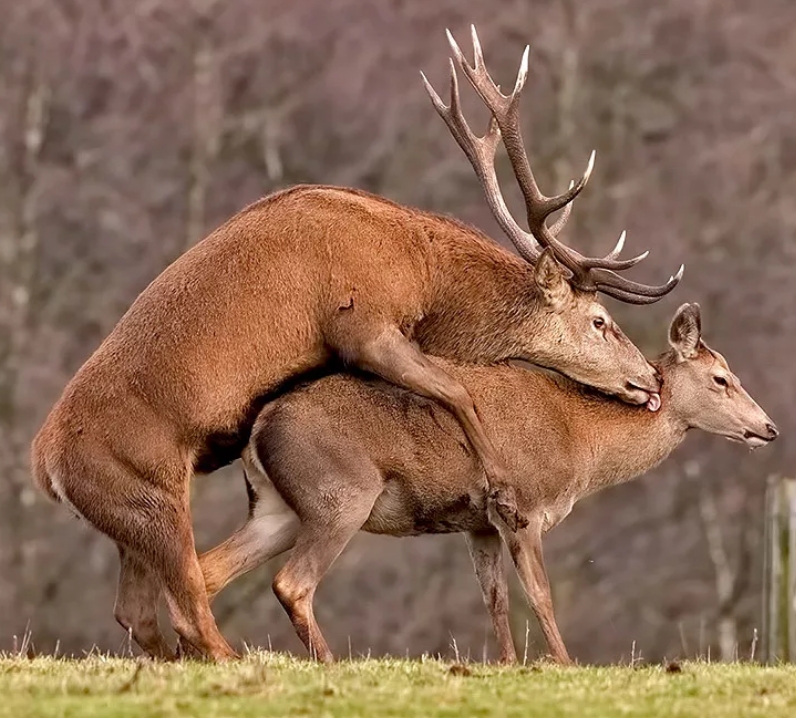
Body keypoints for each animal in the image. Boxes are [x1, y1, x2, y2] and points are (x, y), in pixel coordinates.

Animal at [29, 26, 676, 664]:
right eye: (600, 320)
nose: (649, 379)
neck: (422, 273)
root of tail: (45, 470)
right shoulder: (361, 321)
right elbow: (455, 389)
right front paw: (497, 478)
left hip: (130, 521)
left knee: (138, 611)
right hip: (149, 493)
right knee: (186, 598)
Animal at [202, 300, 780, 668]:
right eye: (721, 379)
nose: (769, 428)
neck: (581, 444)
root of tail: (260, 426)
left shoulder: (476, 522)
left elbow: (495, 598)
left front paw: (507, 663)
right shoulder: (522, 504)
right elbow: (540, 592)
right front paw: (564, 663)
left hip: (276, 509)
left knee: (209, 570)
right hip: (339, 494)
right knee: (291, 582)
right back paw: (329, 662)